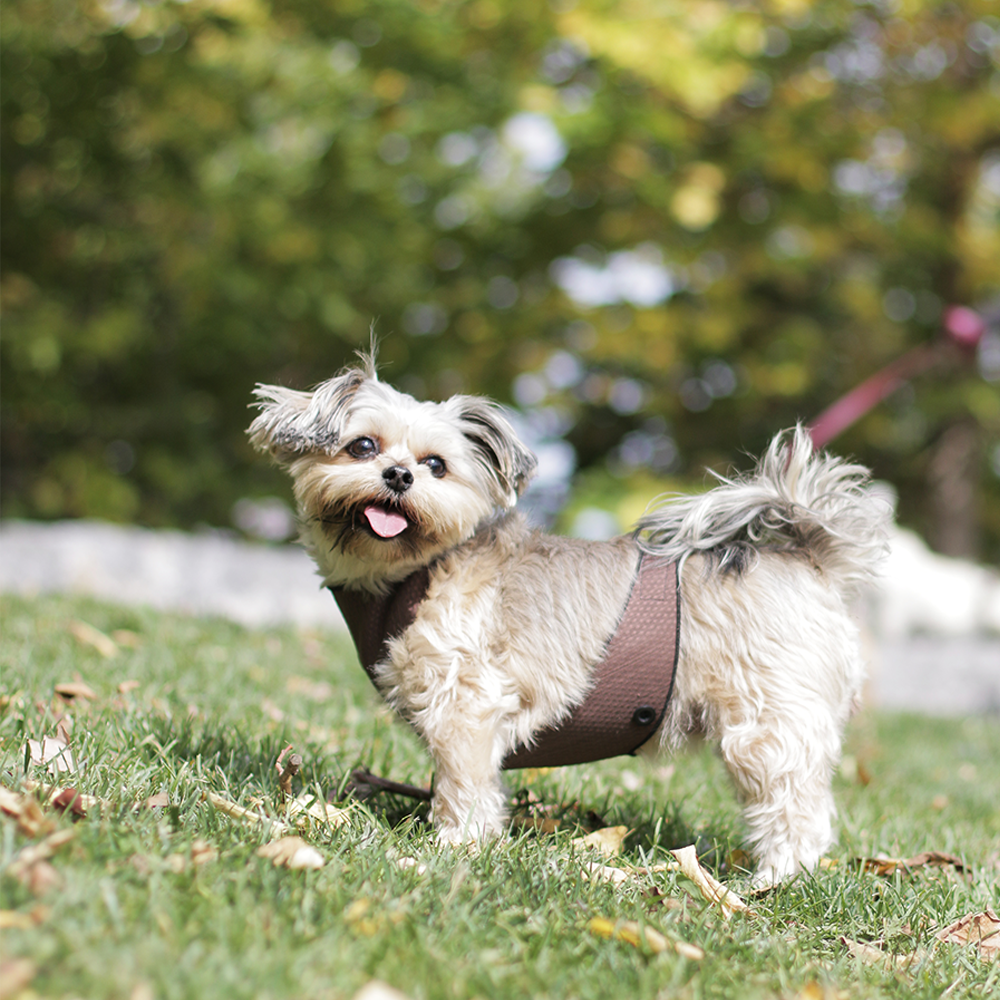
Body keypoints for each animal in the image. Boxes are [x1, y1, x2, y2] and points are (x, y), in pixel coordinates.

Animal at [250, 356, 892, 888]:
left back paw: (775, 881)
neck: (418, 572)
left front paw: (454, 844)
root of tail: (807, 554)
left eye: (436, 465)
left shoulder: (466, 705)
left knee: (796, 811)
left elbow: (462, 784)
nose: (400, 475)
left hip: (765, 727)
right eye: (361, 446)